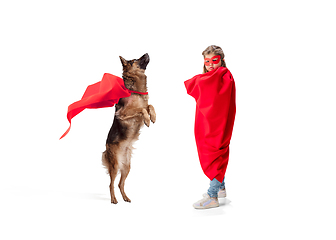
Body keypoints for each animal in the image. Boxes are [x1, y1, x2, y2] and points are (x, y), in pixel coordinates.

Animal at [101, 53, 156, 203]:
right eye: (135, 60)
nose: (147, 53)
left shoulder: (146, 104)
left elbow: (149, 106)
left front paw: (153, 117)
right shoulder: (124, 113)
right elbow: (141, 109)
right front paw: (147, 120)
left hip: (127, 167)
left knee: (120, 184)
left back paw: (125, 198)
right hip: (115, 166)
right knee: (111, 184)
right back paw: (114, 200)